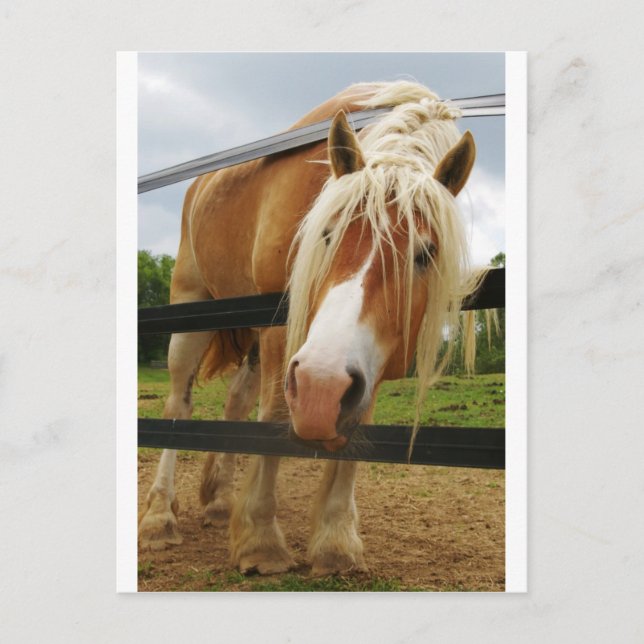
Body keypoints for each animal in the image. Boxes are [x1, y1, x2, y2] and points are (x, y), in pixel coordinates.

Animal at [138, 81, 482, 576]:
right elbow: (275, 415)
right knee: (177, 406)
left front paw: (335, 540)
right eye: (326, 235)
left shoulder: (364, 361)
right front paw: (261, 539)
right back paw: (159, 518)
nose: (321, 387)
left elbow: (355, 422)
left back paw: (219, 502)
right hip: (192, 309)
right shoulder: (282, 329)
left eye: (425, 253)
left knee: (235, 399)